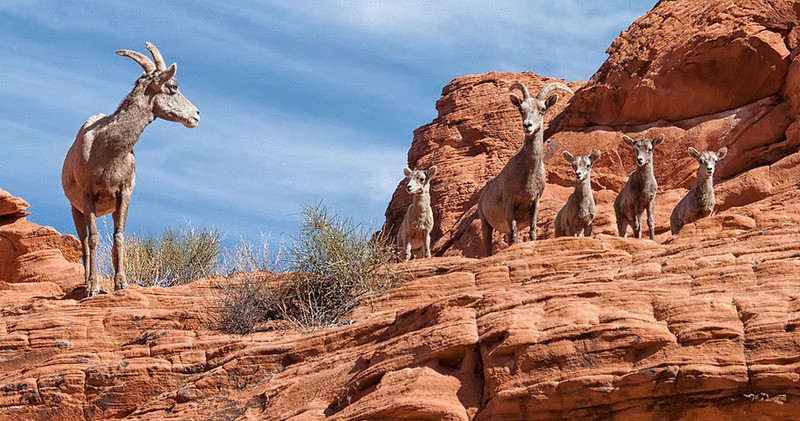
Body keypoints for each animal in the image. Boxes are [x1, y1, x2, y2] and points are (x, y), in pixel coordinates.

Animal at [61, 42, 200, 296]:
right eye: (174, 86)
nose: (196, 115)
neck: (106, 149)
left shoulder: (123, 194)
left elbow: (119, 236)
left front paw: (121, 283)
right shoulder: (87, 195)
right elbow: (94, 239)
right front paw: (93, 288)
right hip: (76, 210)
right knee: (84, 244)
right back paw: (85, 283)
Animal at [476, 80, 576, 254]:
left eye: (542, 109)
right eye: (521, 110)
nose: (527, 126)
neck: (527, 176)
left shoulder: (535, 203)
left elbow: (532, 232)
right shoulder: (510, 205)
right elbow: (516, 235)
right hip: (485, 223)